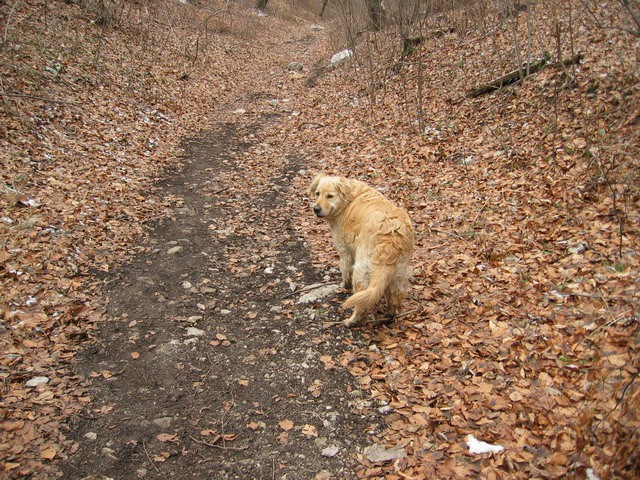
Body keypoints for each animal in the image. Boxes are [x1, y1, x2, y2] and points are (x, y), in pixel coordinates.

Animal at [310, 172, 416, 326]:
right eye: (317, 193)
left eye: (330, 196)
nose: (316, 209)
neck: (349, 200)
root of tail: (391, 235)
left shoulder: (345, 250)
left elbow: (345, 270)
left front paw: (344, 285)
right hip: (400, 272)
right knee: (395, 296)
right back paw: (390, 314)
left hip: (361, 270)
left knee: (360, 303)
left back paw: (352, 320)